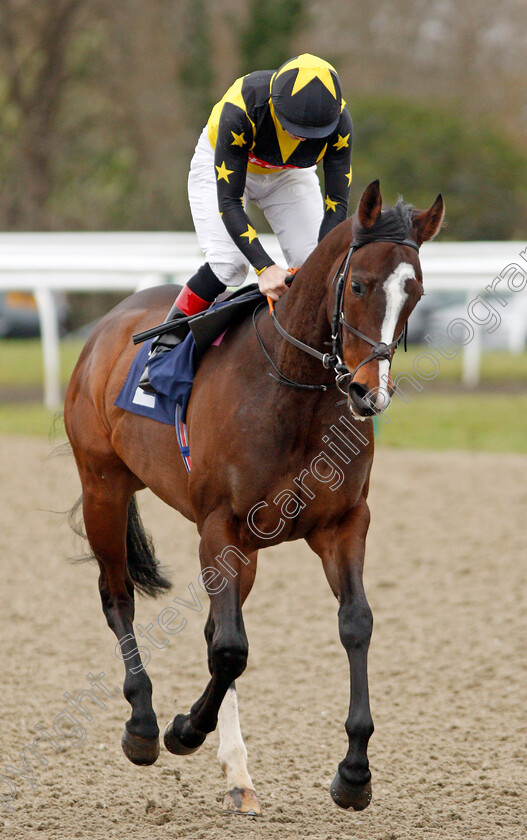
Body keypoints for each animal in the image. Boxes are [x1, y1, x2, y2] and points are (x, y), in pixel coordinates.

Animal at [65, 182, 446, 812]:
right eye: (359, 285)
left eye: (413, 292)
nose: (369, 394)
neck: (296, 391)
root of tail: (108, 324)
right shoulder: (220, 526)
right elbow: (230, 649)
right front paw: (182, 730)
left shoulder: (344, 523)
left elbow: (355, 624)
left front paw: (354, 771)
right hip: (103, 484)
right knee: (117, 597)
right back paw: (143, 724)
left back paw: (237, 774)